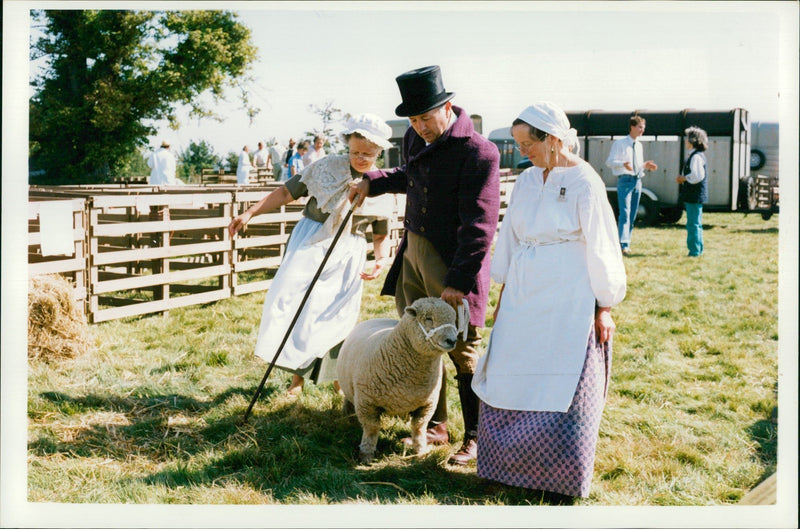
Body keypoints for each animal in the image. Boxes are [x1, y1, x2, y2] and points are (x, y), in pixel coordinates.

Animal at [338, 296, 462, 462]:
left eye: (454, 319)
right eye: (428, 318)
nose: (452, 340)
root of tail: (378, 318)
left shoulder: (426, 406)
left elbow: (419, 428)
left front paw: (420, 452)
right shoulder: (367, 403)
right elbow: (372, 429)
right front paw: (366, 455)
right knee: (348, 397)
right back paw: (347, 414)